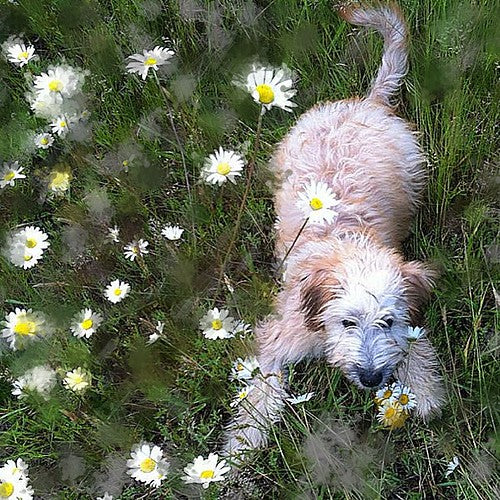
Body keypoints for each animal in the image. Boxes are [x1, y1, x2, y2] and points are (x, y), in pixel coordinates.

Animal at [223, 0, 446, 460]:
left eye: (388, 321)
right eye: (346, 323)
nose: (373, 378)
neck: (344, 241)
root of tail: (366, 102)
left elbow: (414, 346)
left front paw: (425, 393)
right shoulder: (279, 336)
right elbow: (260, 391)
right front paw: (241, 445)